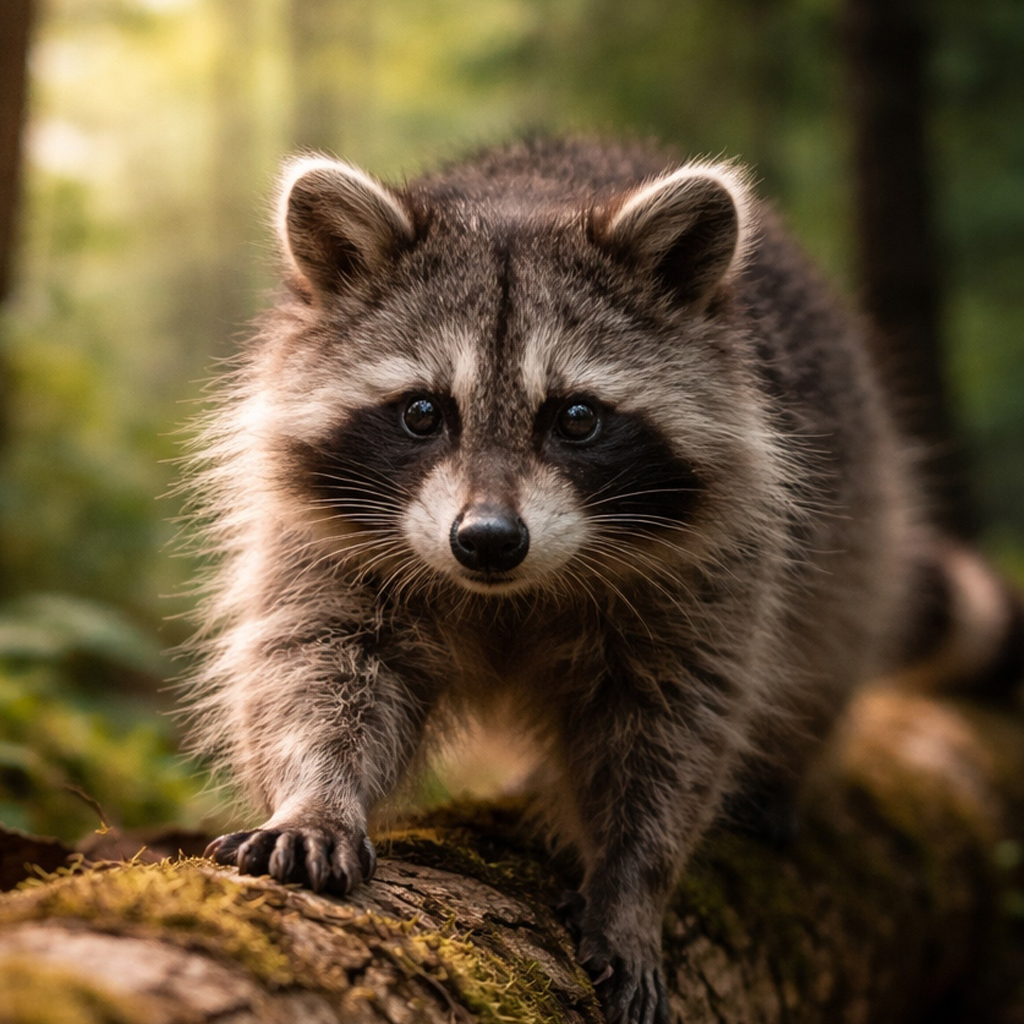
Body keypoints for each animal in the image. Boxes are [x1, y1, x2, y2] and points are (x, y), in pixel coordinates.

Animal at [189, 138, 1020, 1024]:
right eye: (422, 412)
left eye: (576, 417)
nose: (487, 541)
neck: (508, 595)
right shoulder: (325, 537)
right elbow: (319, 664)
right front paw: (316, 795)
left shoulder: (717, 564)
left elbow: (673, 726)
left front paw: (633, 882)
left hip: (857, 499)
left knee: (836, 624)